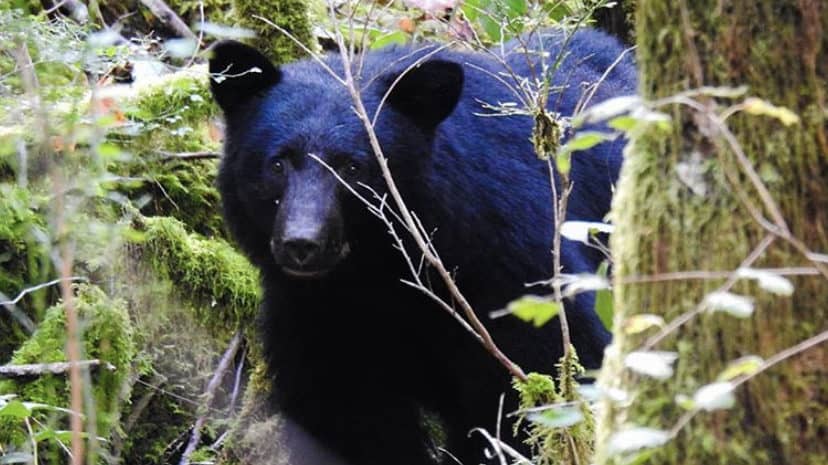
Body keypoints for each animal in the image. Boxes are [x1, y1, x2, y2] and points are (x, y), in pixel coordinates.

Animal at [208, 28, 635, 465]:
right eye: (277, 164)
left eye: (353, 167)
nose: (301, 244)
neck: (375, 271)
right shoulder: (316, 315)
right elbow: (346, 413)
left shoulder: (510, 267)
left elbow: (543, 374)